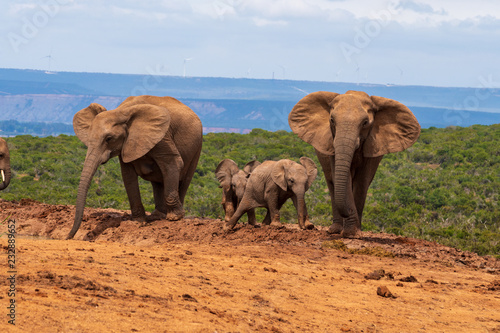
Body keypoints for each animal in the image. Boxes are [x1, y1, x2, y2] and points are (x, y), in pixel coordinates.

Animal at [67, 95, 202, 239]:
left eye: (109, 138)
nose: (69, 236)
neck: (120, 112)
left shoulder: (162, 137)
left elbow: (173, 162)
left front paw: (174, 218)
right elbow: (128, 175)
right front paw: (138, 221)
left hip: (197, 147)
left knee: (185, 178)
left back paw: (174, 215)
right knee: (158, 182)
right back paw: (157, 215)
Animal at [288, 89, 420, 237]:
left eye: (365, 123)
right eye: (332, 120)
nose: (349, 211)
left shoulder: (371, 146)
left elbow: (362, 181)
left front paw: (353, 232)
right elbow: (342, 178)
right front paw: (350, 230)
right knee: (331, 182)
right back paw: (336, 229)